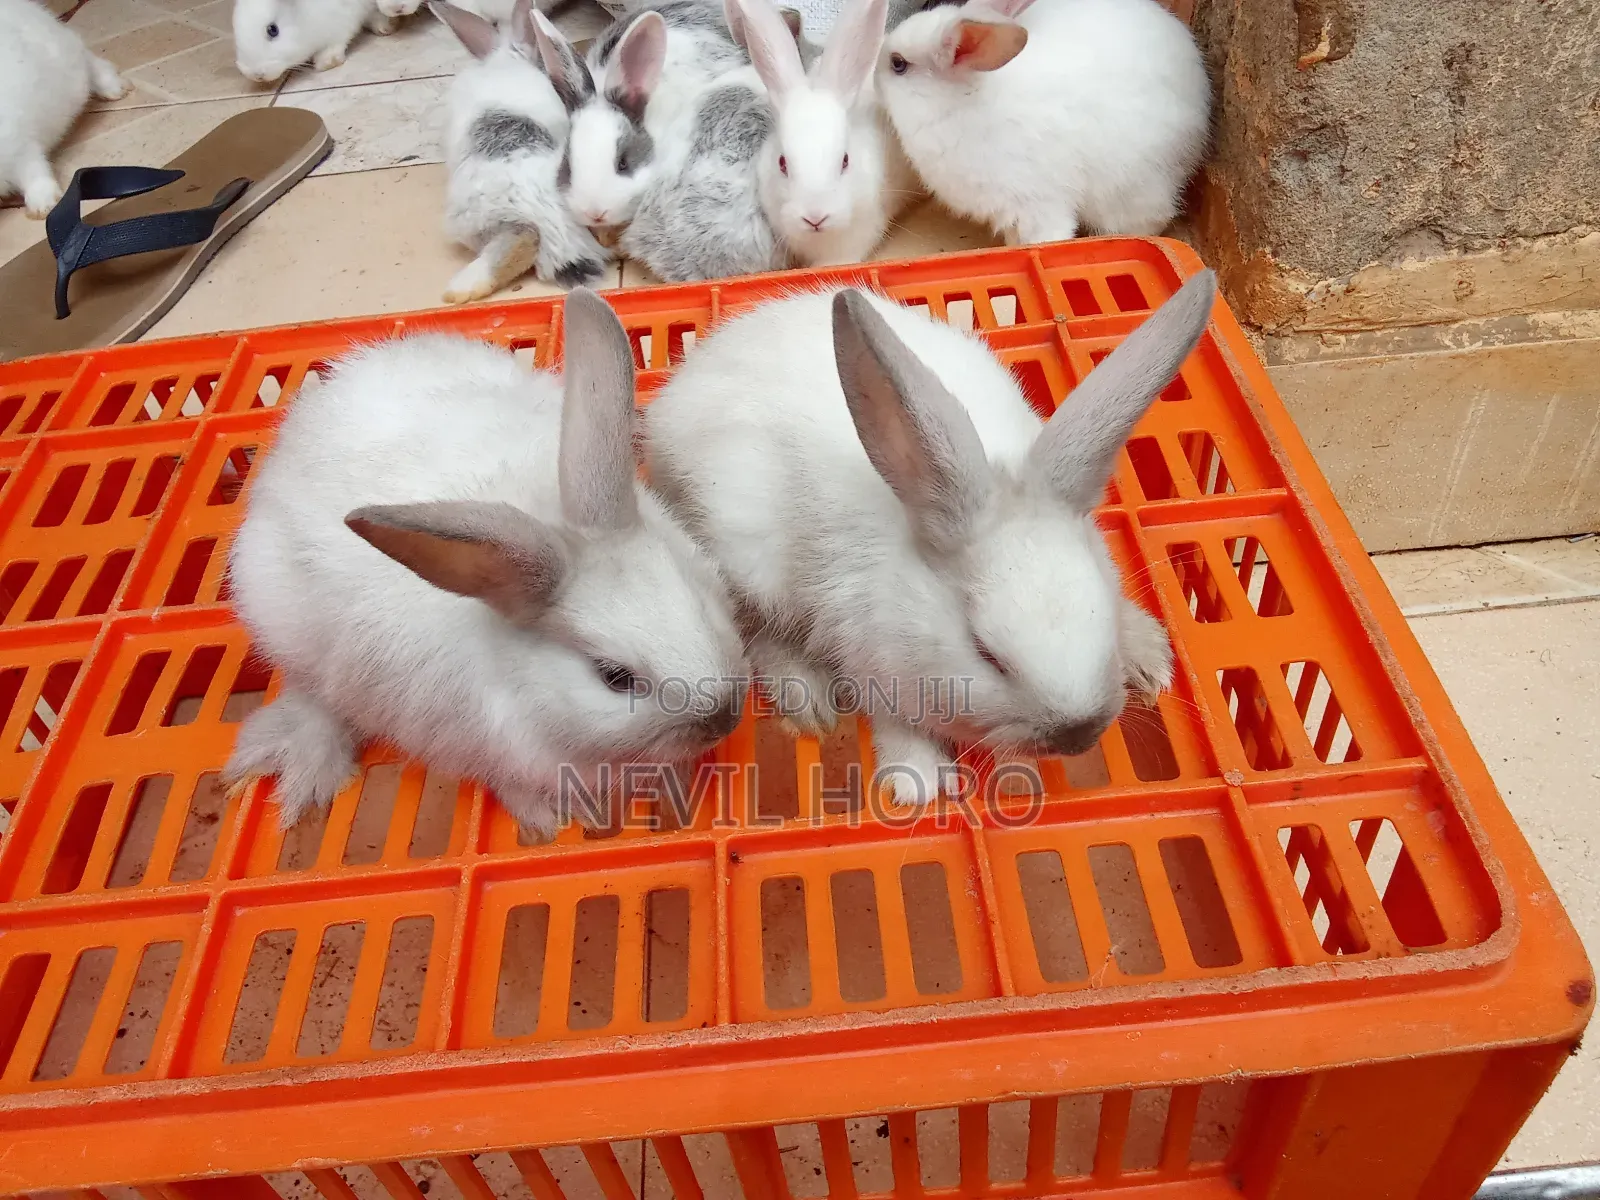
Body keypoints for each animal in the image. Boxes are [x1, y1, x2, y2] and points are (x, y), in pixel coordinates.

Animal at [0, 0, 127, 217]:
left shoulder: (18, 145)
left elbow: (33, 170)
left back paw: (114, 88)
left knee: (89, 61)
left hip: (69, 60)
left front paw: (44, 205)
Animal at [222, 289, 748, 841]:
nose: (724, 719)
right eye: (615, 677)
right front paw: (550, 819)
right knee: (315, 696)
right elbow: (511, 784)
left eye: (701, 602)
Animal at [647, 270, 1216, 805]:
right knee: (755, 630)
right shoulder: (868, 658)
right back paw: (809, 702)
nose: (1079, 735)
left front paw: (1148, 657)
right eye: (986, 653)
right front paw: (919, 781)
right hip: (742, 558)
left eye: (1100, 613)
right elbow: (892, 717)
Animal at [878, 0, 1210, 244]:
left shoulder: (1037, 205)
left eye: (898, 64)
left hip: (1131, 190)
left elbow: (1046, 238)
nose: (873, 77)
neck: (962, 102)